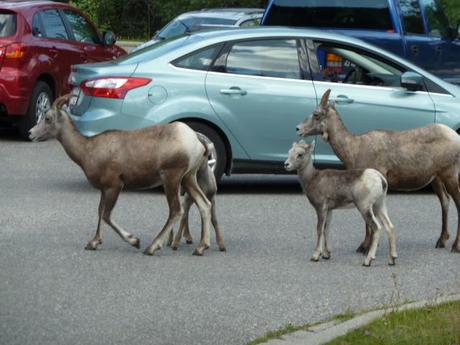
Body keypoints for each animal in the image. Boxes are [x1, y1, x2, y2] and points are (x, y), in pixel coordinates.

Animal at [29, 94, 213, 255]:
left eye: (48, 118)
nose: (31, 133)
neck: (87, 151)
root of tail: (197, 141)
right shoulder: (104, 188)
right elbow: (99, 212)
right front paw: (93, 243)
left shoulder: (115, 185)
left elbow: (106, 215)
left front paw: (134, 241)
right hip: (188, 177)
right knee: (204, 204)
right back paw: (201, 248)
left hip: (171, 177)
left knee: (176, 210)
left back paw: (152, 247)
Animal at [296, 88, 460, 253]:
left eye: (316, 114)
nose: (298, 129)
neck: (353, 150)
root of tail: (456, 137)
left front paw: (365, 247)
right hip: (436, 177)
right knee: (445, 200)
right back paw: (441, 241)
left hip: (450, 174)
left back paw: (455, 246)